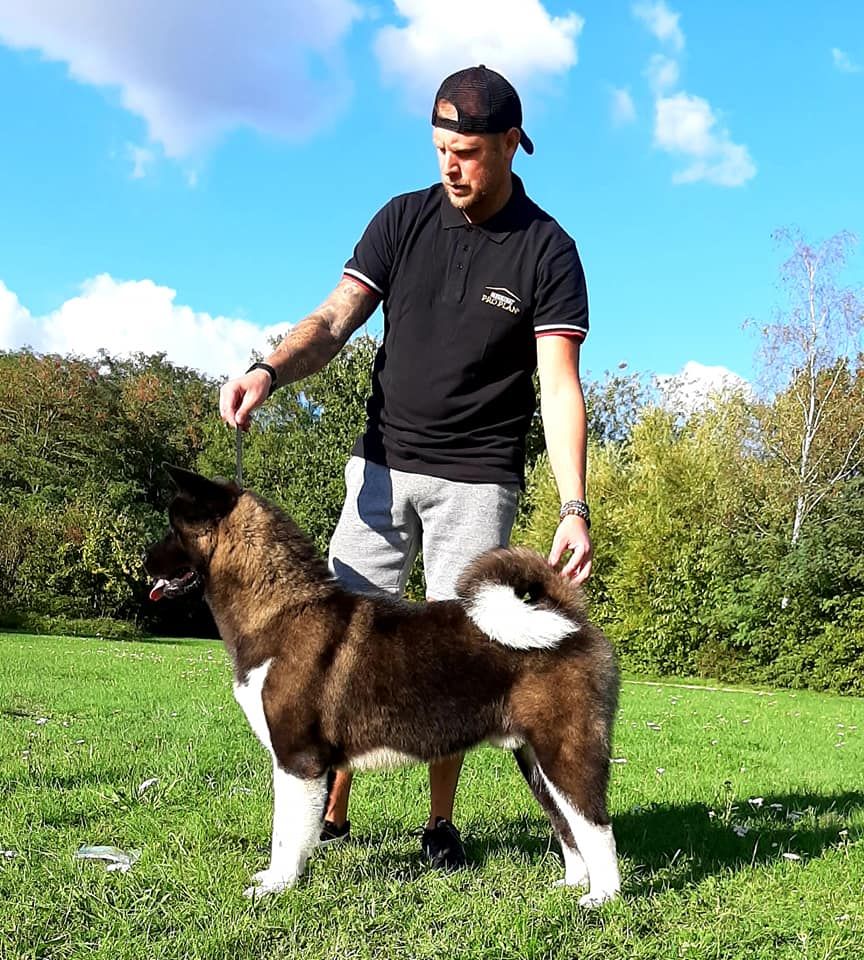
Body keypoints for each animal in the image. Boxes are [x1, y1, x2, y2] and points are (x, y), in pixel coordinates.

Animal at [144, 465, 621, 906]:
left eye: (172, 527)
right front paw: (281, 879)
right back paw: (572, 885)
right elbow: (293, 831)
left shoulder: (298, 760)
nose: (144, 561)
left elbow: (285, 833)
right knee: (567, 825)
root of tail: (570, 621)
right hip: (535, 759)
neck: (282, 610)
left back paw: (602, 898)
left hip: (566, 751)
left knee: (595, 826)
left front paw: (277, 886)